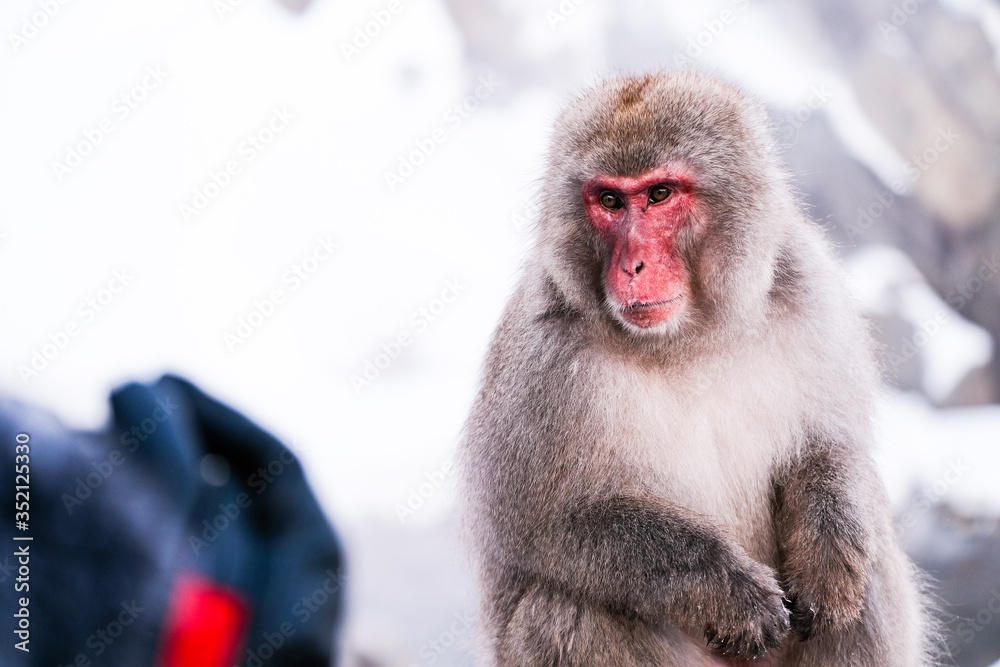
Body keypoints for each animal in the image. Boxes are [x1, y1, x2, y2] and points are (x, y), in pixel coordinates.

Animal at [458, 72, 938, 666]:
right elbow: (539, 524)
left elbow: (833, 444)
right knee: (569, 610)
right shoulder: (539, 358)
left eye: (659, 194)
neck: (686, 340)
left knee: (869, 570)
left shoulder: (808, 291)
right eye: (610, 200)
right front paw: (727, 590)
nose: (632, 266)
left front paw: (827, 551)